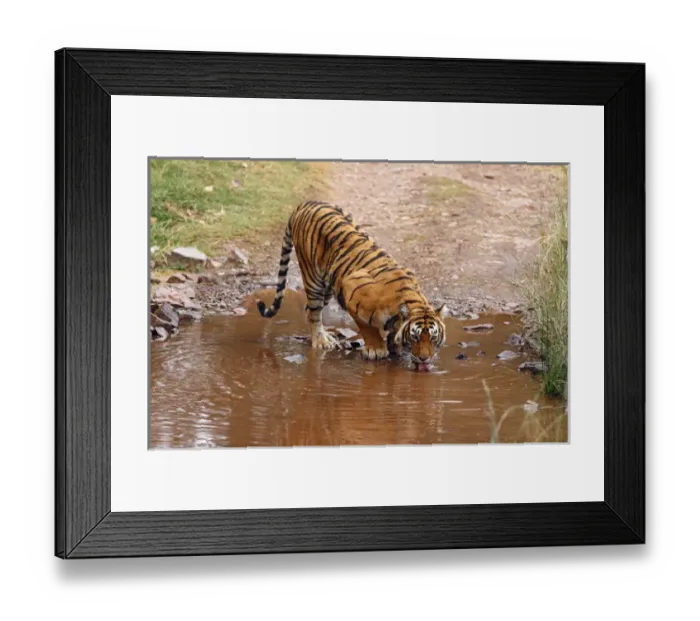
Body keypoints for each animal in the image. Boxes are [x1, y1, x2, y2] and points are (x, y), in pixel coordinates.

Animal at [257, 201, 448, 371]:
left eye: (433, 338)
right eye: (415, 337)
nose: (424, 358)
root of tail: (306, 203)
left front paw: (395, 346)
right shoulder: (351, 291)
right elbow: (368, 328)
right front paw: (376, 349)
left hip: (328, 286)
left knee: (308, 310)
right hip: (314, 279)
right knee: (314, 313)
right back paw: (322, 341)